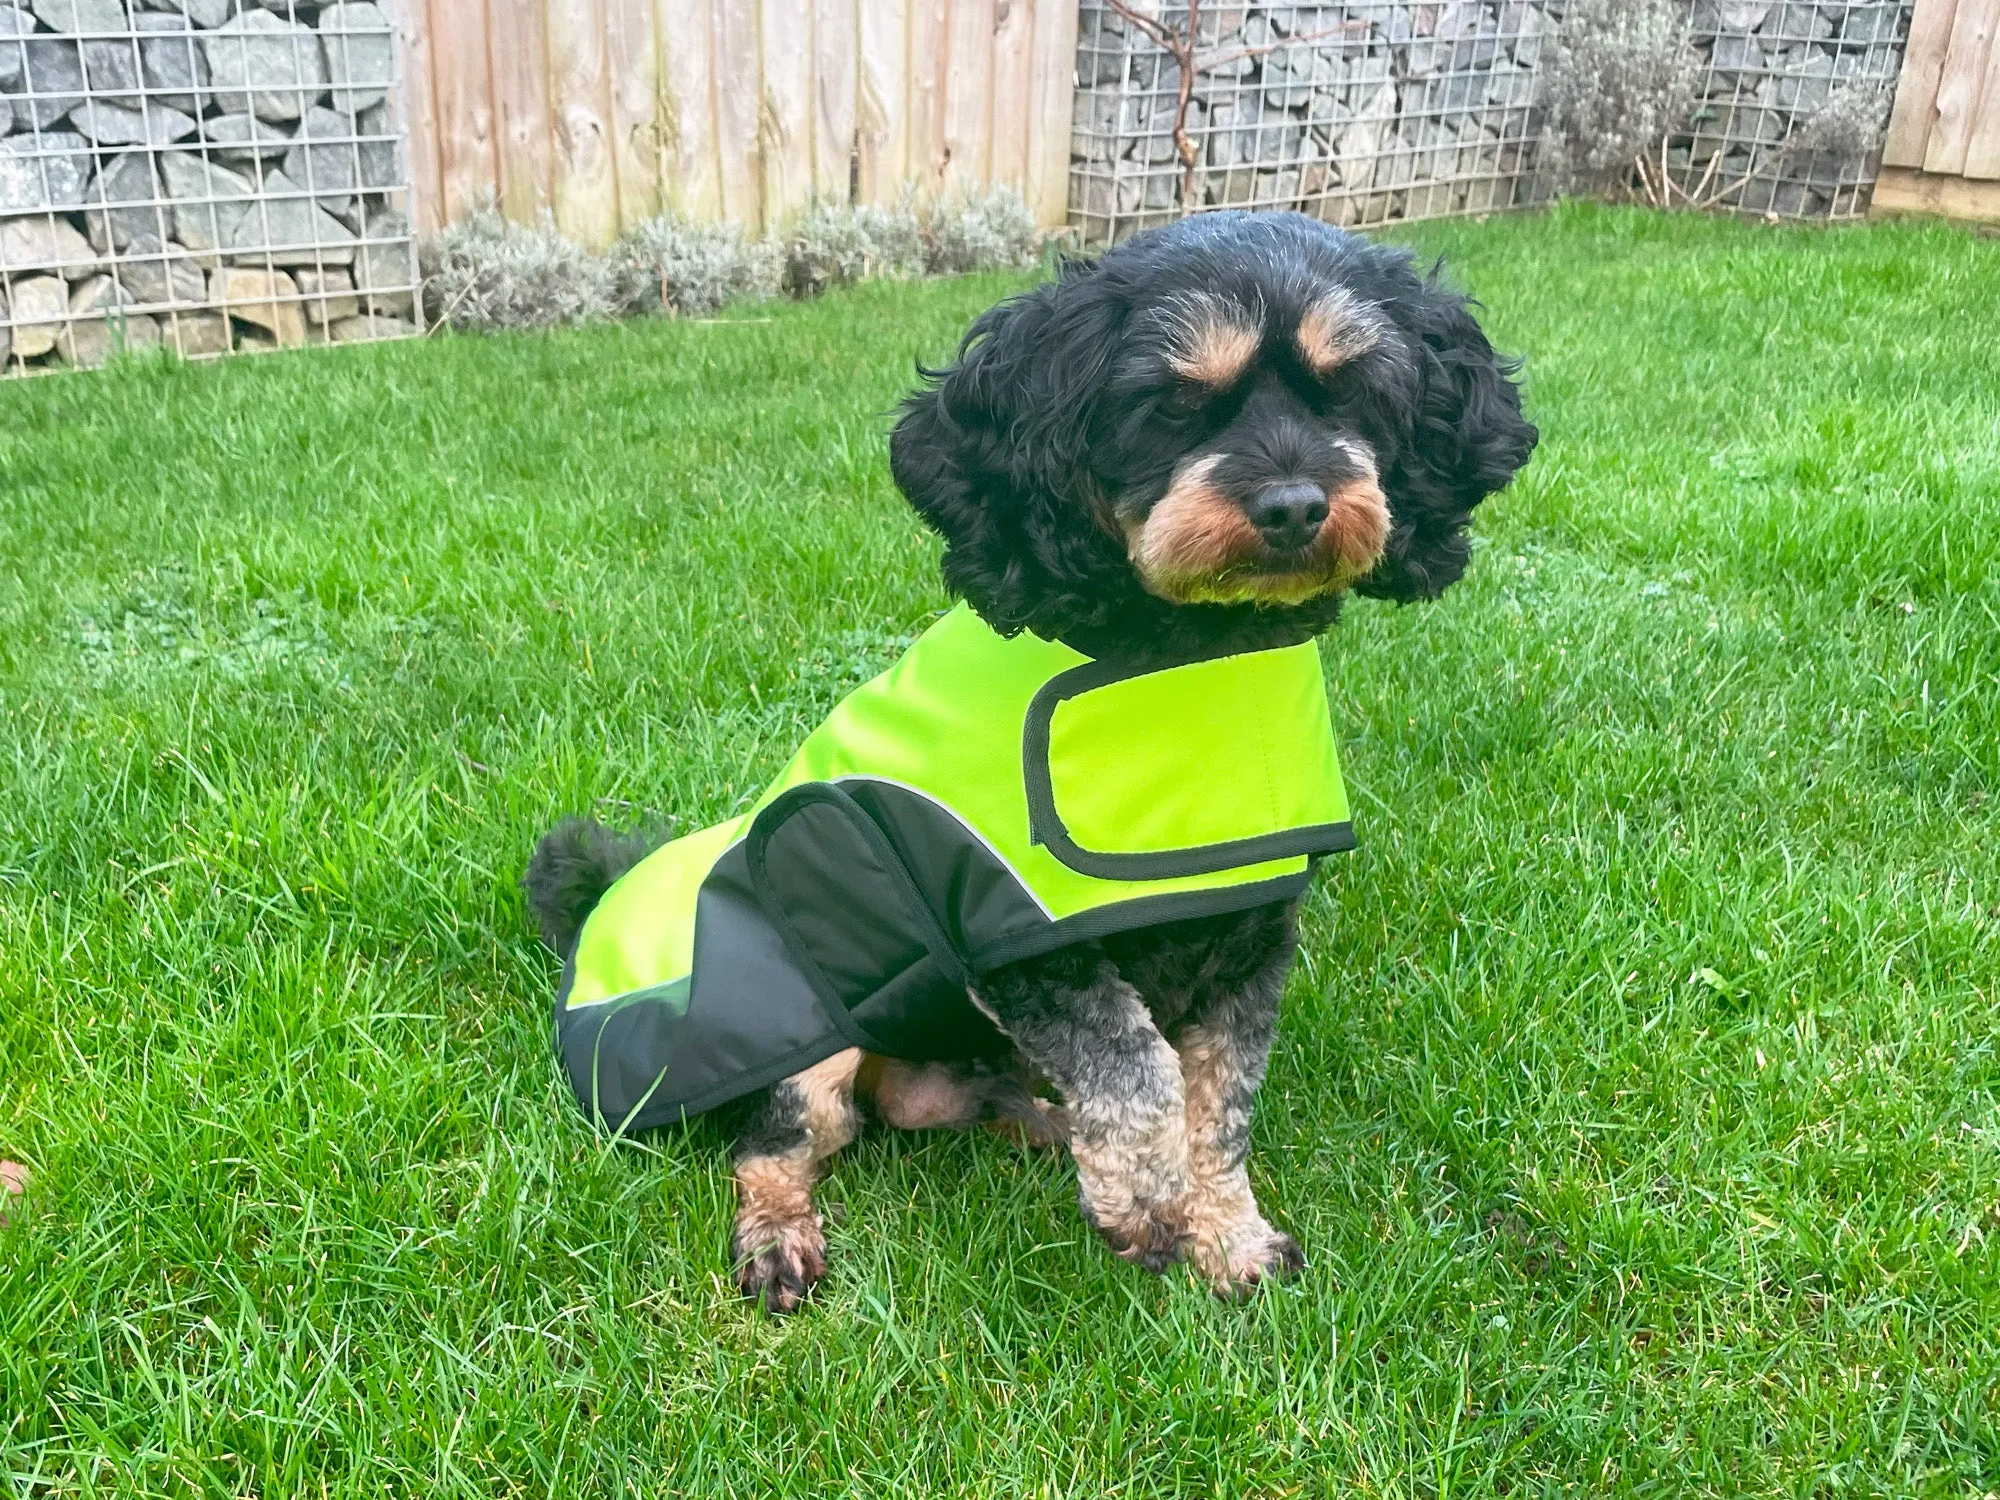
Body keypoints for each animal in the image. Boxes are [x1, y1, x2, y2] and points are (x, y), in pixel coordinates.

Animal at [524, 209, 1536, 1312]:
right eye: (1167, 406)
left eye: (1350, 389)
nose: (1293, 506)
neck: (1189, 659)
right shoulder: (1024, 942)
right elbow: (1138, 1072)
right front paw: (1144, 1205)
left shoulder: (1248, 942)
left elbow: (1218, 1106)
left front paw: (1226, 1235)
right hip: (815, 1034)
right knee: (778, 1141)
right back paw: (780, 1235)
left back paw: (1047, 1126)